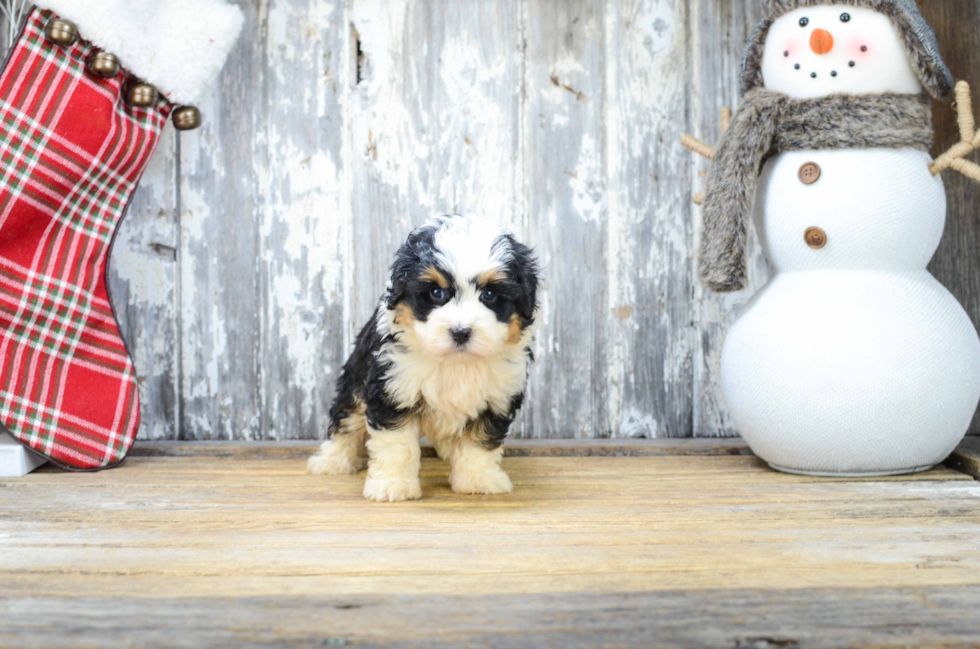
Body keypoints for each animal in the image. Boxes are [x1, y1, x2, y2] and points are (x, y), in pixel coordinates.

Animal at [308, 214, 540, 502]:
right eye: (437, 293)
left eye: (489, 295)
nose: (461, 332)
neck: (456, 361)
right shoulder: (391, 388)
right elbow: (396, 444)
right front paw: (393, 485)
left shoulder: (497, 397)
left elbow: (479, 443)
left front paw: (479, 479)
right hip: (355, 380)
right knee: (346, 422)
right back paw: (331, 461)